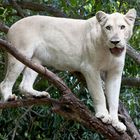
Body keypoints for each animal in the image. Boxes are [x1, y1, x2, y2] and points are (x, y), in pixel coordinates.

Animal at [0, 8, 136, 132]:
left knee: (24, 85)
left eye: (122, 27)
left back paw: (39, 95)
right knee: (5, 83)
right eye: (108, 27)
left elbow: (114, 100)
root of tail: (12, 26)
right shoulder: (90, 68)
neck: (109, 52)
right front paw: (103, 116)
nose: (115, 41)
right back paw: (9, 97)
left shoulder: (115, 73)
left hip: (35, 60)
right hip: (19, 53)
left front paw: (116, 123)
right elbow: (99, 94)